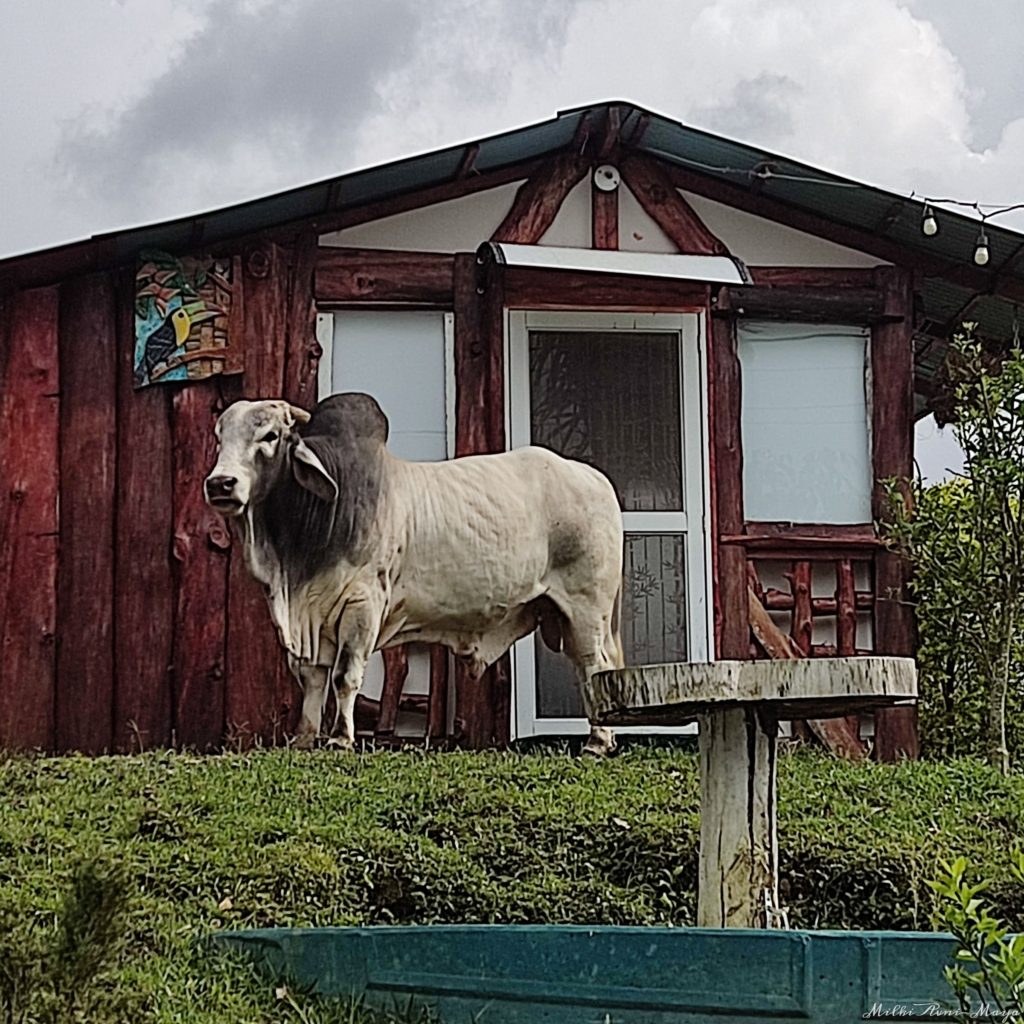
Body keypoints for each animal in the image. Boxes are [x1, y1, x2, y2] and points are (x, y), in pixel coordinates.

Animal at [202, 395, 618, 757]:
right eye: (220, 436)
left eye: (270, 435)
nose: (221, 483)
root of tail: (592, 477)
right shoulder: (312, 617)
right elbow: (314, 679)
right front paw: (304, 739)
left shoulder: (362, 605)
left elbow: (344, 676)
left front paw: (340, 738)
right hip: (563, 614)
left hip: (586, 608)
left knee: (594, 667)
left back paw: (597, 743)